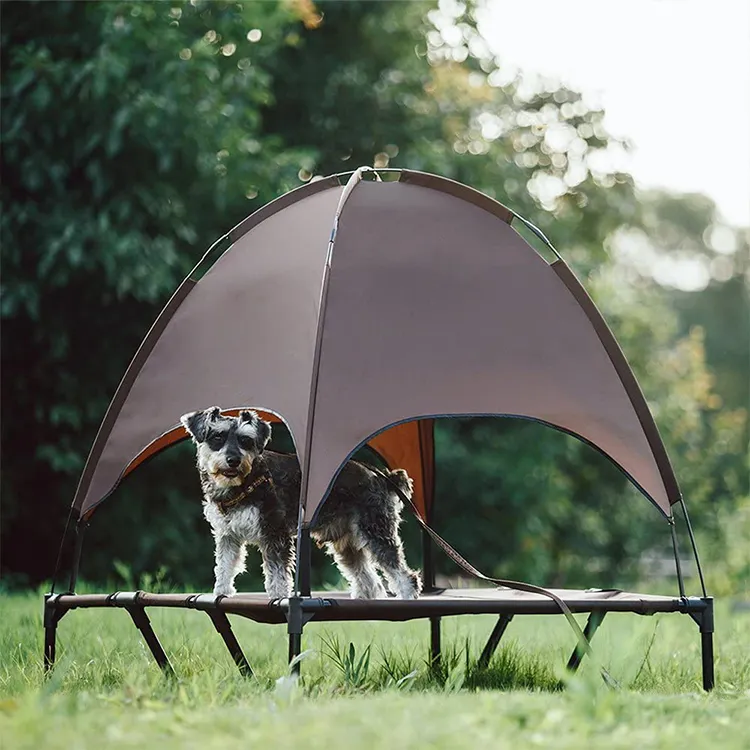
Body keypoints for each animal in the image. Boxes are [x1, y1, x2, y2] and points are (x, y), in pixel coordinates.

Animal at [179, 408, 420, 604]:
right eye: (217, 437)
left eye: (245, 440)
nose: (233, 460)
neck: (242, 484)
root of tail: (381, 477)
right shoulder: (228, 536)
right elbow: (224, 566)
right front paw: (220, 592)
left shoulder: (274, 533)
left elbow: (276, 571)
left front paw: (278, 596)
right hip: (346, 543)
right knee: (368, 577)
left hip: (375, 531)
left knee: (402, 571)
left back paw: (407, 596)